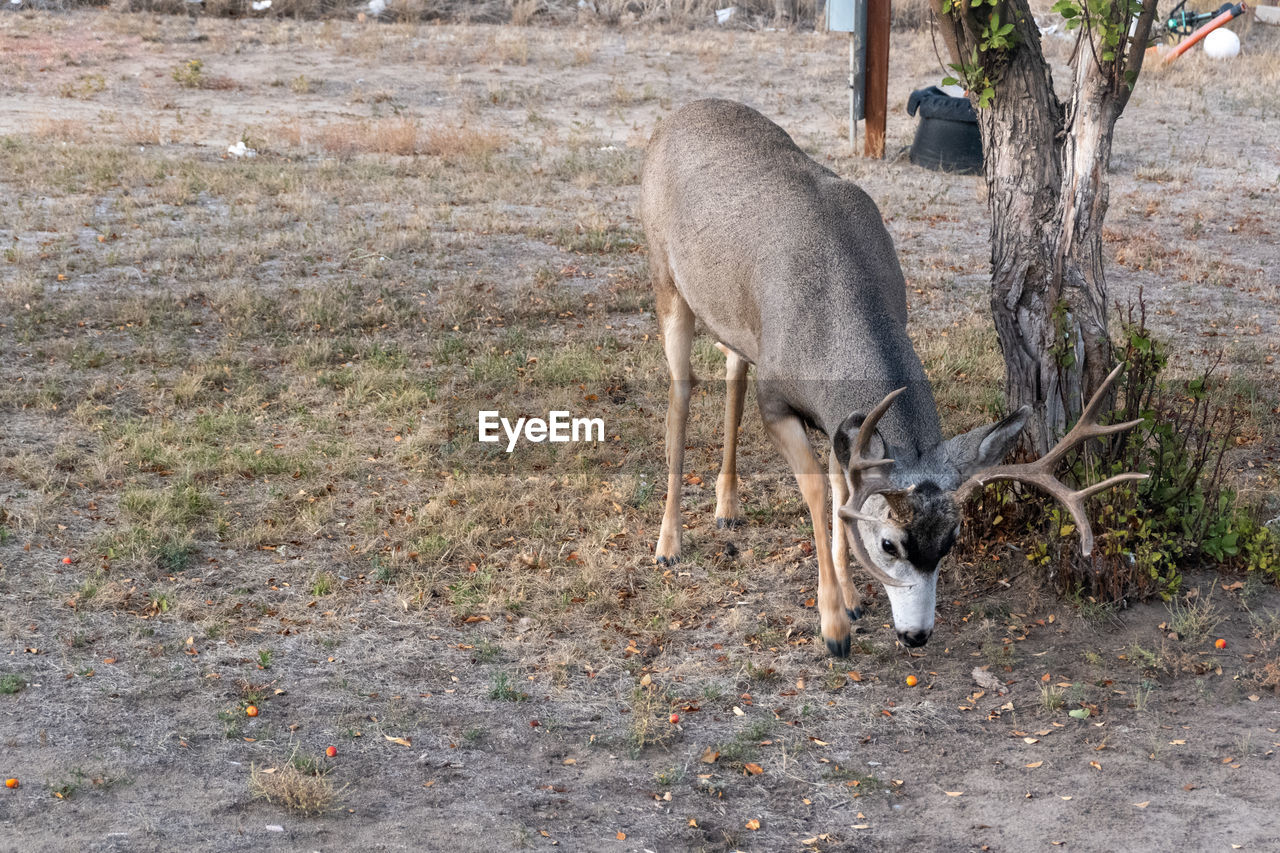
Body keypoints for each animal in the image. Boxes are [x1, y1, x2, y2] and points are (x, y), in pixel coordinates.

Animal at [640, 101, 1152, 655]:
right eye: (889, 544)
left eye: (951, 542)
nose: (916, 635)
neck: (834, 305)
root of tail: (678, 115)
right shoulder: (775, 397)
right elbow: (819, 494)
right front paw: (834, 627)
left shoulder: (844, 425)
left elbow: (843, 491)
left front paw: (852, 599)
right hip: (665, 278)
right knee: (681, 392)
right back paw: (668, 544)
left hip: (731, 318)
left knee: (731, 367)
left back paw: (727, 506)